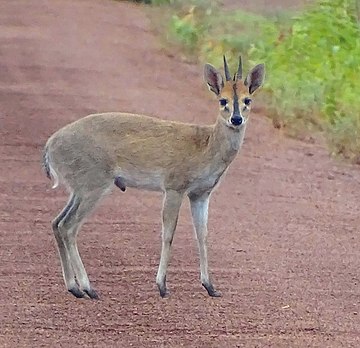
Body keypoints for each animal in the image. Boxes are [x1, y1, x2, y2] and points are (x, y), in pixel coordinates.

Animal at [43, 55, 264, 300]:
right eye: (222, 100)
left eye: (247, 99)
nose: (236, 119)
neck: (206, 146)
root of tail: (50, 146)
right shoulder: (174, 187)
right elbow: (168, 233)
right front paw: (162, 286)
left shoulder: (201, 194)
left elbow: (203, 235)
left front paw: (210, 287)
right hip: (95, 184)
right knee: (69, 226)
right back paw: (89, 288)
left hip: (79, 189)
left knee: (57, 222)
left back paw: (74, 288)